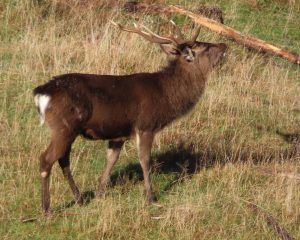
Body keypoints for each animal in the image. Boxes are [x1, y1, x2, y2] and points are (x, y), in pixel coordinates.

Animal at [33, 19, 227, 213]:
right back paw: (46, 209)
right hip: (64, 127)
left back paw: (79, 199)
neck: (165, 95)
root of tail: (41, 93)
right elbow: (145, 160)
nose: (224, 45)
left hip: (67, 130)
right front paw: (150, 197)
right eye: (205, 47)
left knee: (63, 160)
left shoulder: (119, 134)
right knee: (46, 159)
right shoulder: (146, 125)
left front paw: (100, 192)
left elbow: (111, 159)